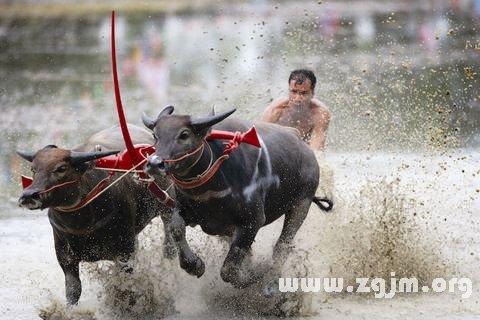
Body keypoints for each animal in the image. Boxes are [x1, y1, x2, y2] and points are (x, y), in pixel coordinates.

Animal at [17, 124, 174, 304]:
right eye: (33, 169)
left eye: (61, 168)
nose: (29, 195)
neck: (81, 223)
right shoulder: (65, 256)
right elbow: (73, 290)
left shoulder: (125, 252)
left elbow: (127, 285)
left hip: (167, 209)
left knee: (170, 240)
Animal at [141, 107, 332, 288]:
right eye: (155, 135)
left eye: (184, 134)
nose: (154, 164)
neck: (210, 188)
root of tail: (306, 149)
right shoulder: (186, 211)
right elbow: (176, 227)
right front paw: (194, 265)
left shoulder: (253, 221)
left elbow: (229, 269)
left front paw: (255, 274)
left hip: (302, 203)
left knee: (282, 245)